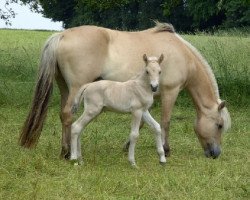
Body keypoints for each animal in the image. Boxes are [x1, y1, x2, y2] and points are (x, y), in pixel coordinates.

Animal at [19, 22, 230, 159]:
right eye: (219, 125)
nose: (215, 154)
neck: (182, 55)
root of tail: (62, 35)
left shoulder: (148, 98)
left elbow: (144, 124)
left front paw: (127, 145)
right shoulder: (171, 92)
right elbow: (166, 122)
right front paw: (166, 149)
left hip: (65, 88)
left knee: (64, 116)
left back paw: (67, 149)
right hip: (77, 88)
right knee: (68, 115)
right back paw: (67, 152)